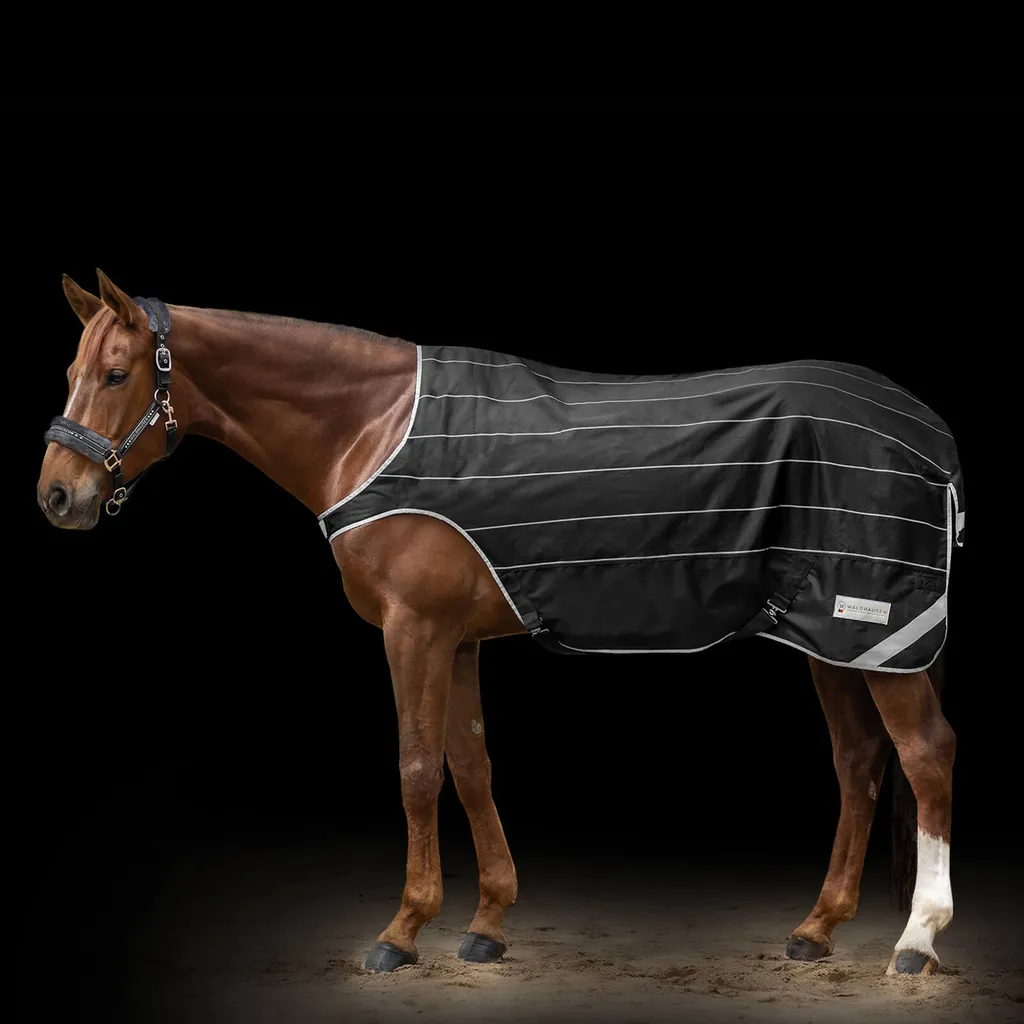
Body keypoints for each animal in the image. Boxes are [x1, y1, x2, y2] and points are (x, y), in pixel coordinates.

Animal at [38, 270, 959, 978]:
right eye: (74, 368)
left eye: (116, 375)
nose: (57, 496)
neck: (371, 427)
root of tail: (930, 433)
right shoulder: (458, 637)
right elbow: (472, 766)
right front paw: (486, 923)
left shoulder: (413, 630)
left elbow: (416, 770)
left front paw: (402, 931)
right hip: (832, 637)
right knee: (858, 761)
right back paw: (818, 928)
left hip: (876, 632)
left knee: (925, 755)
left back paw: (917, 943)